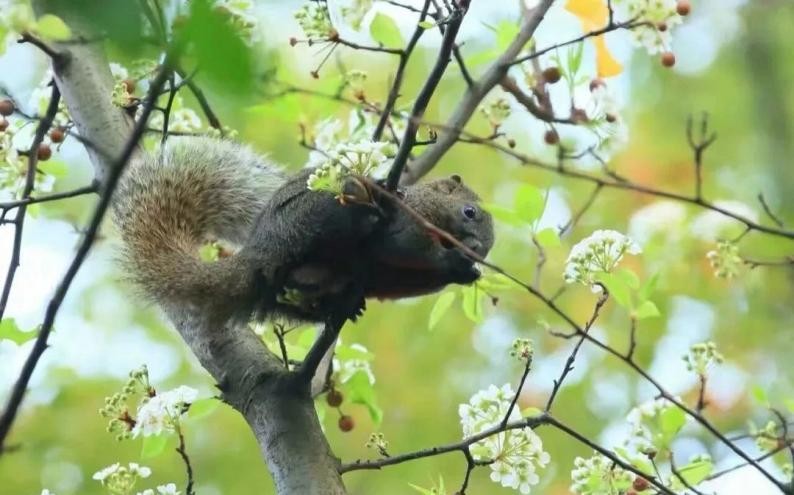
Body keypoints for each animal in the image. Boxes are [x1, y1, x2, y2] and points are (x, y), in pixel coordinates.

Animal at [112, 139, 492, 326]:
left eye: (488, 247)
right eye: (469, 212)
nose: (475, 250)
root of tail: (256, 255)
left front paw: (464, 272)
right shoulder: (408, 222)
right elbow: (405, 247)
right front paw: (452, 261)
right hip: (312, 215)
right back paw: (365, 212)